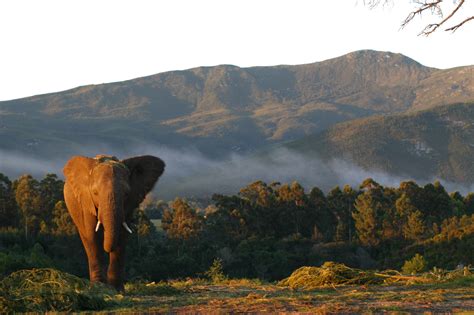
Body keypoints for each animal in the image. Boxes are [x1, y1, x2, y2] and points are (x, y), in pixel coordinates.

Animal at [62, 154, 165, 290]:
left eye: (126, 194)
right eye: (95, 193)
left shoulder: (128, 206)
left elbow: (121, 236)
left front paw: (116, 289)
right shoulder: (86, 202)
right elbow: (92, 236)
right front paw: (99, 287)